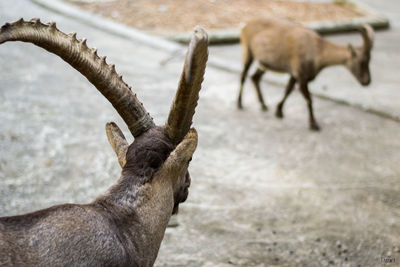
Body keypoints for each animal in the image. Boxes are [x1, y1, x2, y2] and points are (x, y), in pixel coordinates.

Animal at [238, 16, 372, 131]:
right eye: (361, 61)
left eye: (369, 60)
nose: (367, 81)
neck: (317, 50)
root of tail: (246, 25)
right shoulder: (302, 76)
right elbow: (309, 99)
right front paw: (313, 124)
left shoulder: (294, 74)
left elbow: (288, 90)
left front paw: (279, 111)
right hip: (247, 51)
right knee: (243, 76)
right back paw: (239, 104)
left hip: (264, 64)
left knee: (255, 77)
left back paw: (263, 105)